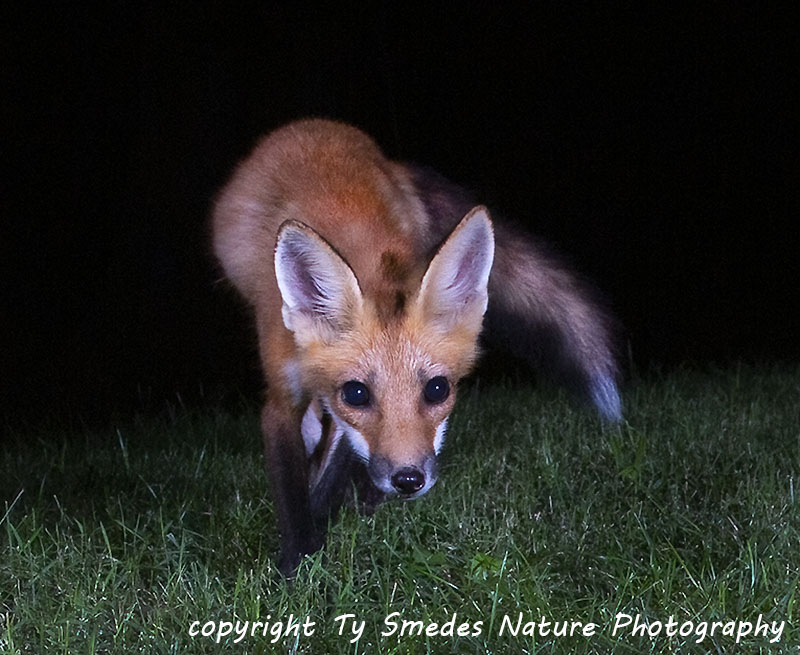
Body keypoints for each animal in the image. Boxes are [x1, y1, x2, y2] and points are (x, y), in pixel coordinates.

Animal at [212, 119, 621, 576]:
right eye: (358, 393)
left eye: (437, 389)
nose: (408, 480)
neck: (368, 260)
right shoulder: (283, 393)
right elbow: (291, 488)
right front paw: (296, 561)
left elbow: (338, 460)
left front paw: (328, 519)